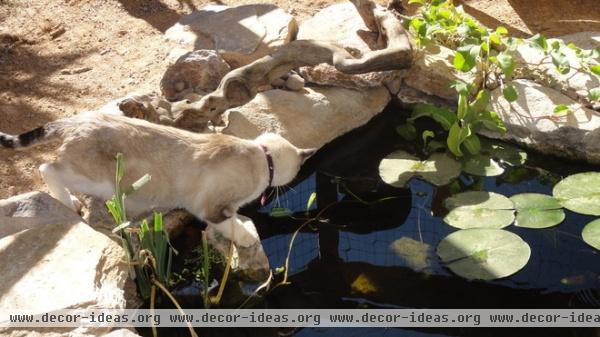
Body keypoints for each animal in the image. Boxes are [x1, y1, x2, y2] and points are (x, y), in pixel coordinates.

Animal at [0, 111, 316, 245]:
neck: (261, 156)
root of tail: (80, 117)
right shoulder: (208, 207)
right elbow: (229, 225)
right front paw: (246, 238)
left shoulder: (224, 206)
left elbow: (232, 219)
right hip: (99, 181)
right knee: (47, 168)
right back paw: (69, 204)